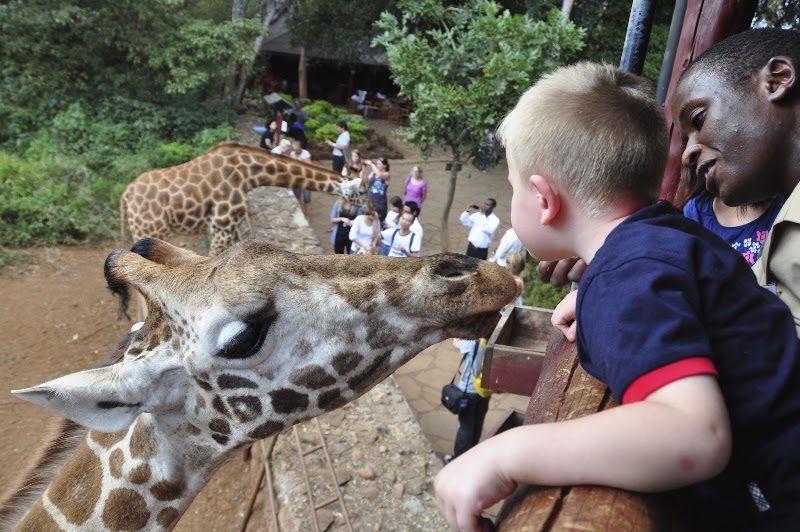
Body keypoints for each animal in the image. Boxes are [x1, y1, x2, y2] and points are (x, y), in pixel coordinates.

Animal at [119, 141, 369, 257]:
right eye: (362, 191)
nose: (372, 211)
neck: (249, 175)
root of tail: (125, 196)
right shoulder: (221, 226)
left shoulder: (232, 227)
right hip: (149, 229)